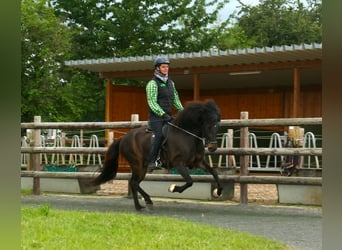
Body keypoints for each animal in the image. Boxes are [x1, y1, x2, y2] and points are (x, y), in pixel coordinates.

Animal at [92, 99, 223, 211]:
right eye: (208, 125)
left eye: (217, 125)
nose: (212, 148)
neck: (186, 136)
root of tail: (123, 138)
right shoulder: (178, 163)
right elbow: (190, 181)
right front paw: (173, 188)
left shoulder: (198, 162)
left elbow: (214, 172)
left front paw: (219, 191)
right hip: (138, 165)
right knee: (134, 183)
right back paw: (144, 203)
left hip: (142, 167)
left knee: (135, 183)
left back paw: (142, 204)